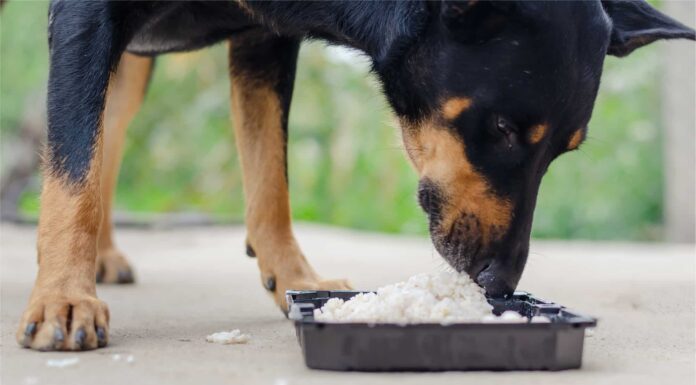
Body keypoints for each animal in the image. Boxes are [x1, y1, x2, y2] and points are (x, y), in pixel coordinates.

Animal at [17, 0, 696, 350]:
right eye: (502, 128)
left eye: (562, 150)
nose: (499, 284)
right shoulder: (85, 16)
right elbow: (71, 169)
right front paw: (65, 297)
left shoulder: (265, 39)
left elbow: (271, 176)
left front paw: (294, 278)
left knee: (112, 123)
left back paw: (106, 253)